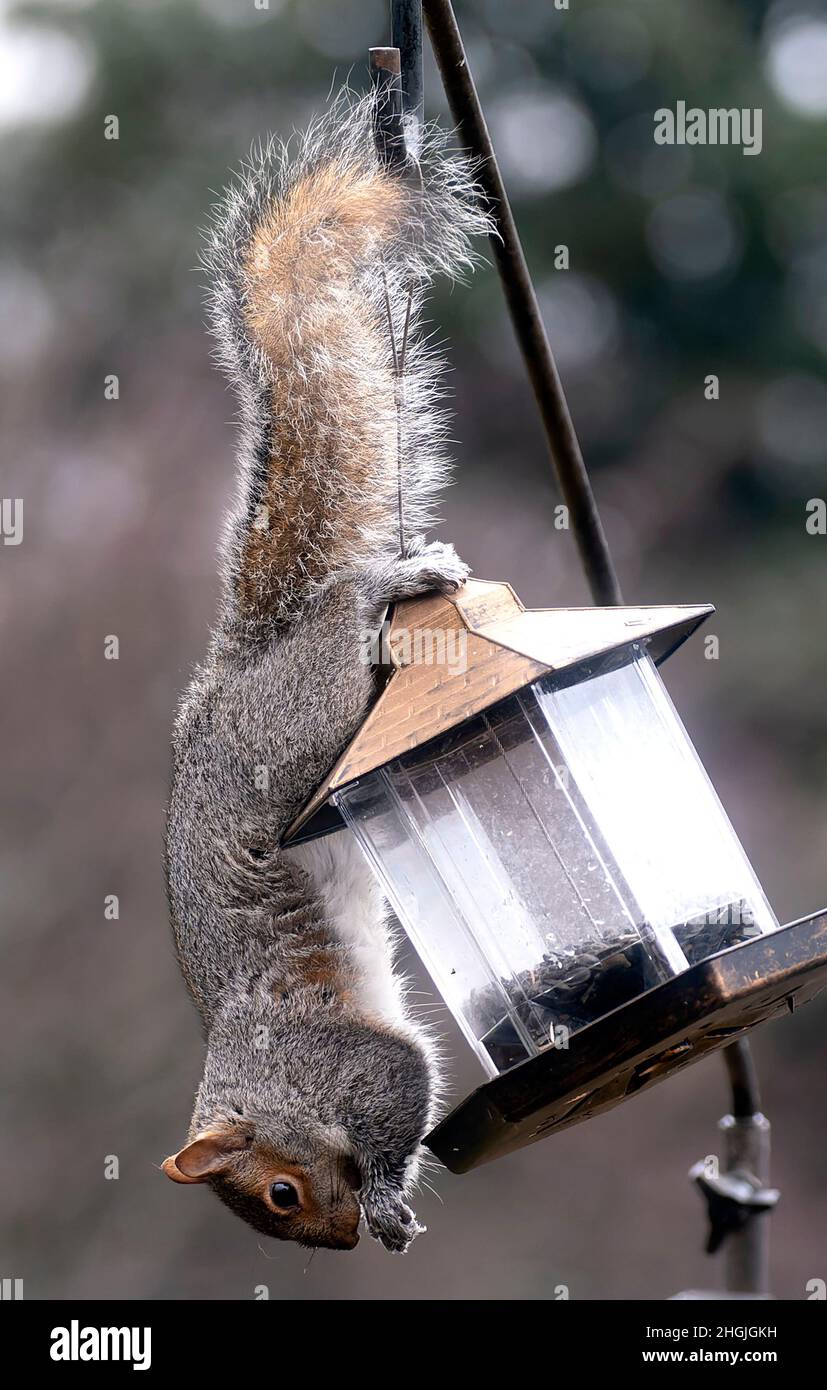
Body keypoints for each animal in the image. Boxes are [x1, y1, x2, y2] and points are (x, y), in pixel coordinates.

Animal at [162, 95, 489, 1253]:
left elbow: (401, 1084)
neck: (264, 1079)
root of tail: (230, 683)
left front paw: (387, 1197)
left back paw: (394, 575)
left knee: (350, 612)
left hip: (307, 714)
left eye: (279, 1194)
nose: (342, 1242)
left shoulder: (346, 1060)